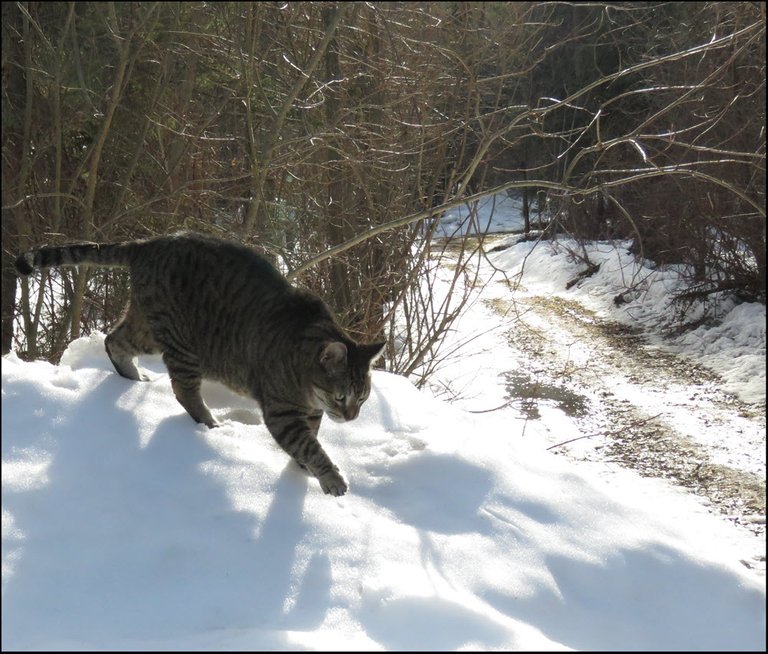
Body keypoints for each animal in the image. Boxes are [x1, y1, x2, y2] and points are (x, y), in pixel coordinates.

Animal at [12, 233, 384, 494]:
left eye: (363, 398)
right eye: (341, 396)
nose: (352, 417)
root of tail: (149, 244)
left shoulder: (308, 412)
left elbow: (310, 442)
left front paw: (305, 467)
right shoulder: (282, 411)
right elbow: (310, 445)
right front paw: (330, 476)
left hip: (147, 329)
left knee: (114, 340)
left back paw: (133, 378)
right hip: (181, 344)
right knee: (183, 390)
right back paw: (209, 424)